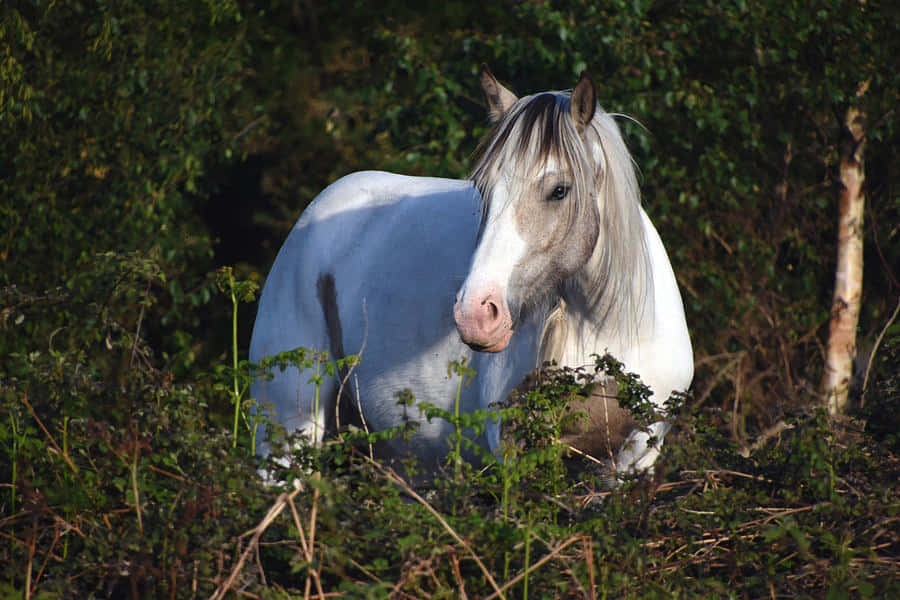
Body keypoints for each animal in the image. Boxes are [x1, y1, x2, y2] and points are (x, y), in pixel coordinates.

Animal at [249, 66, 693, 476]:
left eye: (559, 190)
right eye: (483, 190)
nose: (476, 314)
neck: (606, 329)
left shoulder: (633, 460)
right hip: (286, 435)